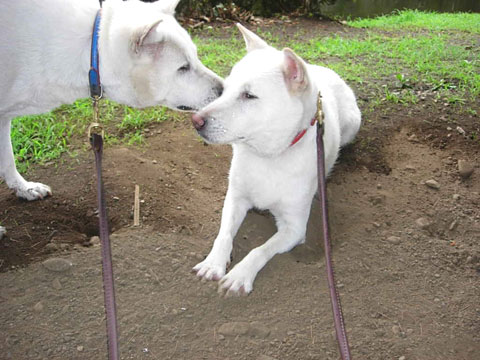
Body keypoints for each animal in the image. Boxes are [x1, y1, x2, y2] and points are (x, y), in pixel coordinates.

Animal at [0, 0, 221, 202]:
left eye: (196, 57)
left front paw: (24, 188)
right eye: (183, 68)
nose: (223, 89)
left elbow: (8, 158)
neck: (91, 49)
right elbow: (8, 156)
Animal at [191, 24, 360, 296]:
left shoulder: (294, 227)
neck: (268, 156)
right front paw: (213, 263)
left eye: (249, 96)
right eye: (225, 89)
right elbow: (224, 234)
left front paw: (239, 275)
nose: (195, 121)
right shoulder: (235, 198)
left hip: (353, 124)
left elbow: (259, 249)